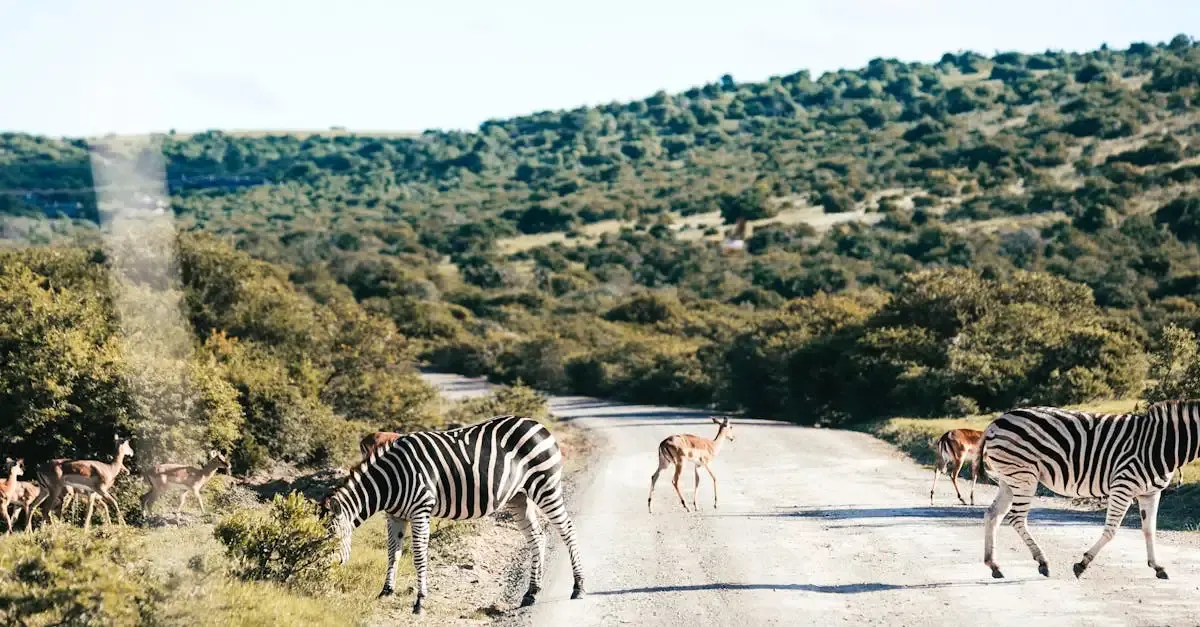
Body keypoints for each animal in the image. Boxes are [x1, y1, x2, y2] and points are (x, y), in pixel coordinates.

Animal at [321, 414, 585, 615]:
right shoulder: (395, 516)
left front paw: (420, 602)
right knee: (537, 537)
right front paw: (386, 592)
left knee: (568, 530)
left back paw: (578, 587)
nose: (320, 574)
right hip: (518, 496)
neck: (391, 481)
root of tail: (537, 424)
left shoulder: (420, 509)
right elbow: (392, 553)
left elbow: (418, 556)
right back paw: (531, 593)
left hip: (545, 485)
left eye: (330, 540)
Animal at [977, 400, 1200, 581]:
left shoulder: (1150, 493)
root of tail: (995, 422)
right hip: (1024, 475)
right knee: (1016, 518)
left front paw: (1157, 566)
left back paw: (994, 565)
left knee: (993, 514)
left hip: (1009, 478)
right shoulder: (1123, 485)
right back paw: (1043, 562)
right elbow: (1110, 531)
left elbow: (1149, 530)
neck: (1162, 444)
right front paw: (1082, 565)